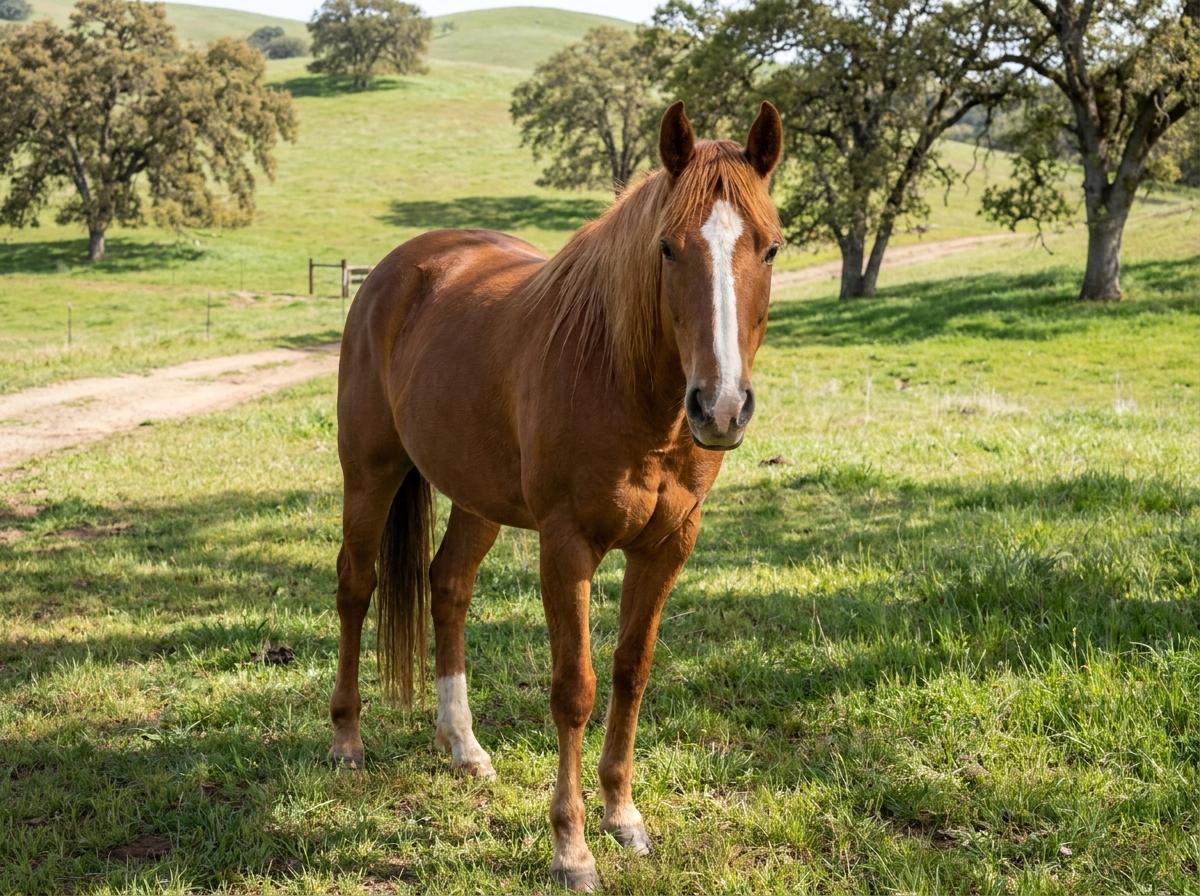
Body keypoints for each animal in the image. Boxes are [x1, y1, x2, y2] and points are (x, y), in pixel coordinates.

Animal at [329, 100, 783, 891]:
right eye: (668, 249)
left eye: (772, 249)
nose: (721, 408)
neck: (623, 381)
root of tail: (396, 271)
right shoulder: (567, 545)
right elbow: (575, 689)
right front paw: (571, 849)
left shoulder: (668, 546)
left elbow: (631, 672)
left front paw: (623, 816)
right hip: (371, 472)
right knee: (357, 586)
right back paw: (349, 740)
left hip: (476, 496)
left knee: (447, 586)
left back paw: (464, 746)